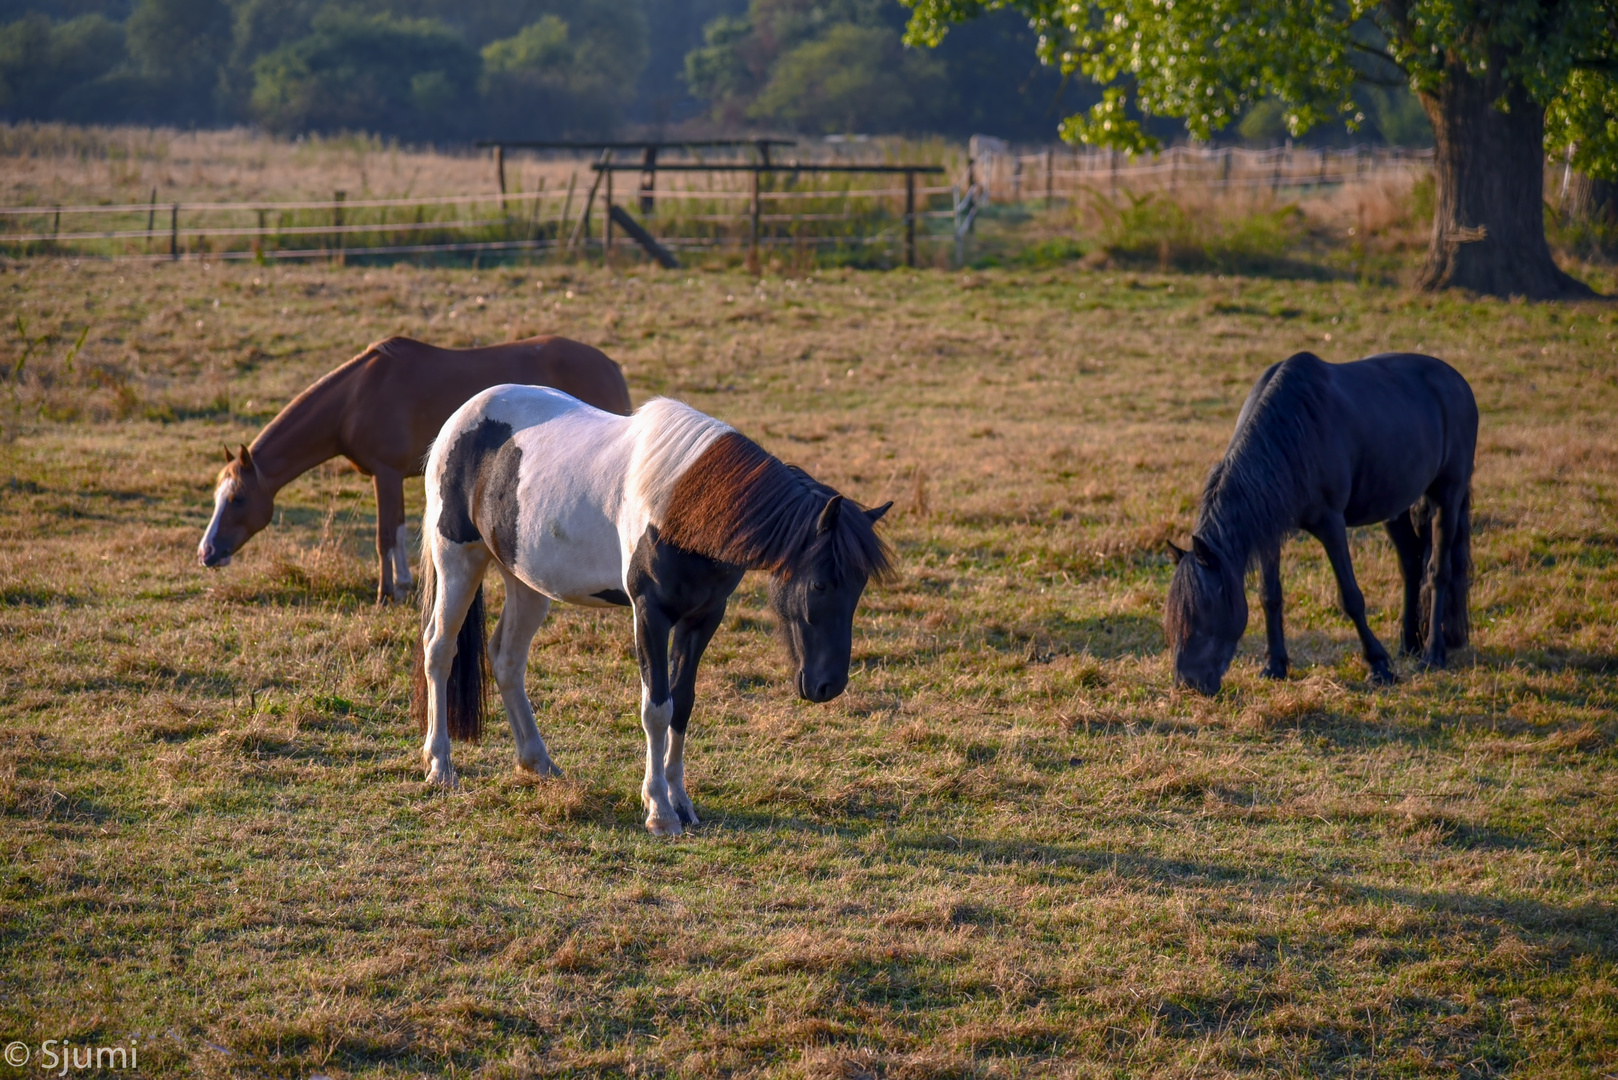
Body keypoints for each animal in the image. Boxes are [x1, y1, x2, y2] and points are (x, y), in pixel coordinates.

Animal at [197, 333, 631, 605]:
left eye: (238, 499)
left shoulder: (385, 474)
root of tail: (609, 363)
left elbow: (385, 535)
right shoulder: (393, 476)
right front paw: (405, 585)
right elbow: (398, 529)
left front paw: (386, 593)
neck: (355, 398)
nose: (207, 553)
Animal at [404, 388, 893, 835]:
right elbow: (656, 706)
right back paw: (440, 765)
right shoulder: (650, 615)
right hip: (458, 560)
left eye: (859, 588)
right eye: (820, 584)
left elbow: (683, 703)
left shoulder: (704, 617)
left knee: (507, 660)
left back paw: (538, 762)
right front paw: (659, 809)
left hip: (526, 581)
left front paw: (681, 801)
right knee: (439, 650)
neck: (684, 508)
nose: (829, 685)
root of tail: (461, 417)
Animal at [1164, 351, 1482, 696]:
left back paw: (1433, 654)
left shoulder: (1331, 524)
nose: (1188, 684)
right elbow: (1269, 595)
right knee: (1412, 563)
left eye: (1203, 610)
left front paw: (1378, 666)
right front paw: (1275, 665)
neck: (1293, 433)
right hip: (1394, 504)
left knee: (1438, 572)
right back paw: (1408, 644)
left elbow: (1351, 598)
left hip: (1446, 495)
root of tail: (1457, 382)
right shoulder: (1269, 530)